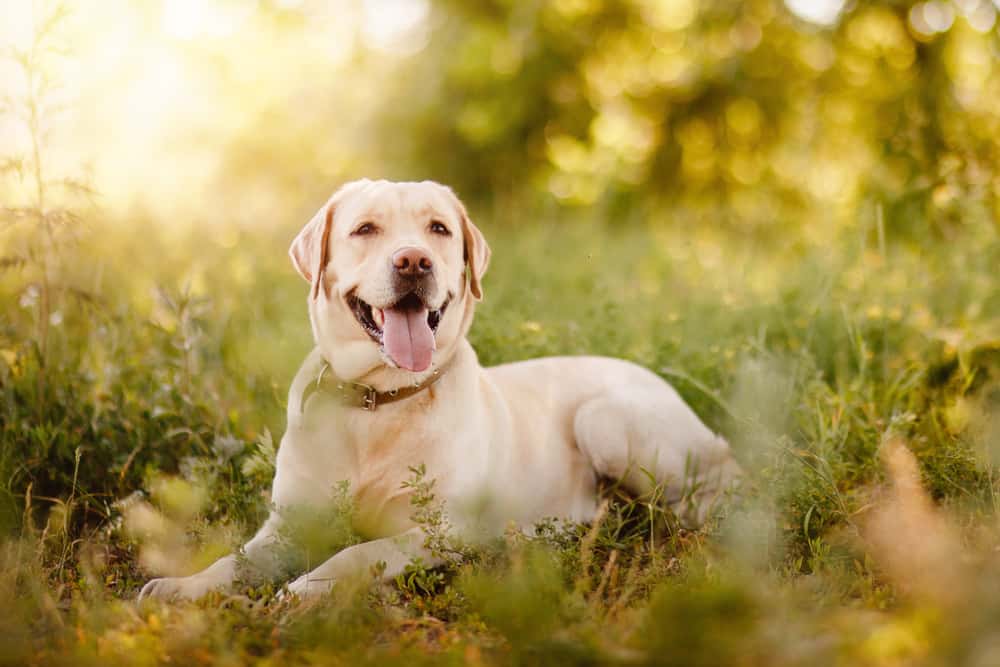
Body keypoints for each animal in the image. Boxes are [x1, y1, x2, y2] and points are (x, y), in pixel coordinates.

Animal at [137, 180, 740, 604]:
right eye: (365, 229)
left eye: (439, 229)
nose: (413, 261)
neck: (376, 401)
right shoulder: (287, 525)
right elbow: (235, 559)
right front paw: (183, 587)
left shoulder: (439, 530)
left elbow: (359, 552)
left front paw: (307, 588)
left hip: (607, 421)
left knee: (712, 493)